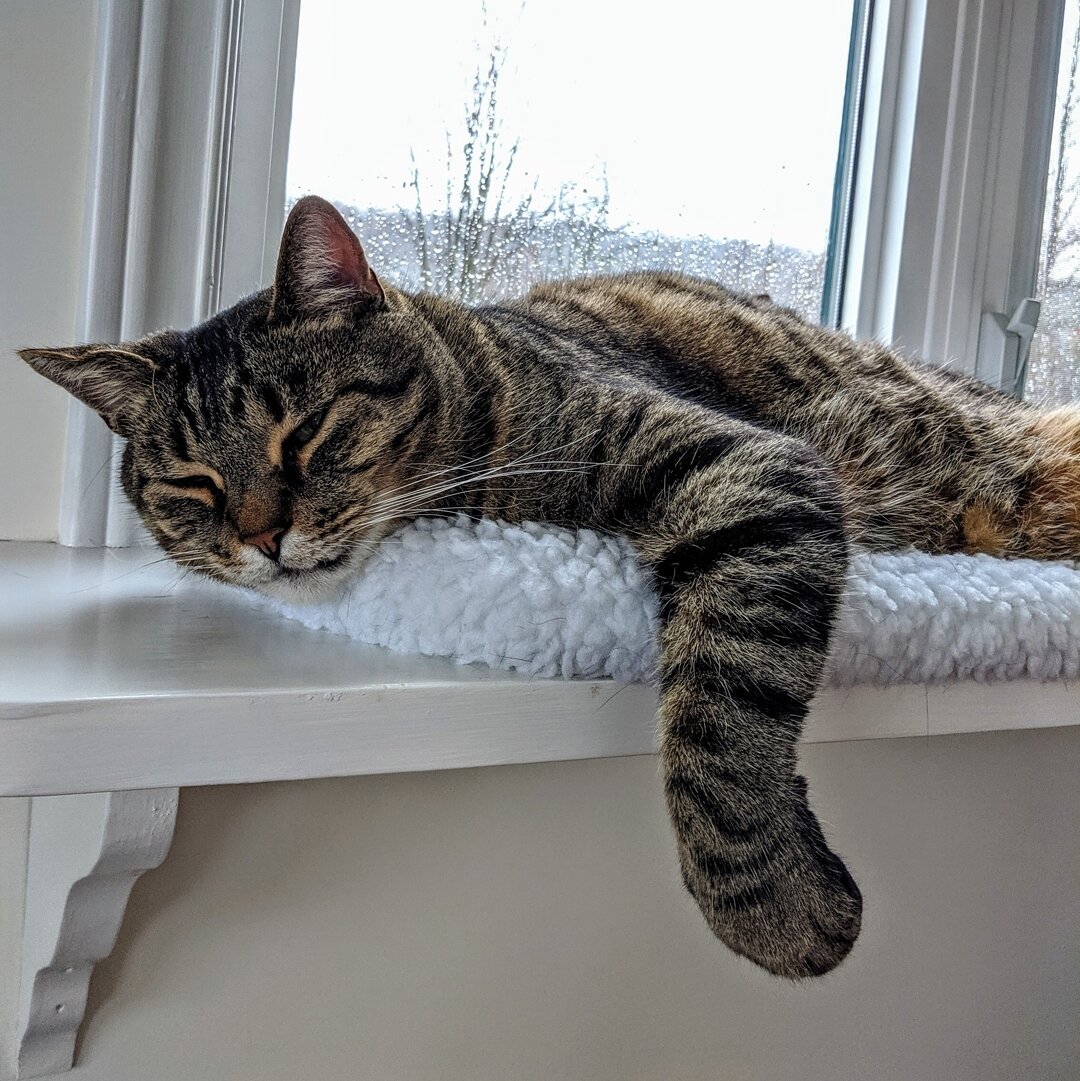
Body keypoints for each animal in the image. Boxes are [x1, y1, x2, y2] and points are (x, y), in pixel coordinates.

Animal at [21, 192, 1080, 981]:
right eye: (192, 484)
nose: (262, 537)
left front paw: (768, 902)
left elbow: (719, 717)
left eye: (307, 431)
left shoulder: (750, 466)